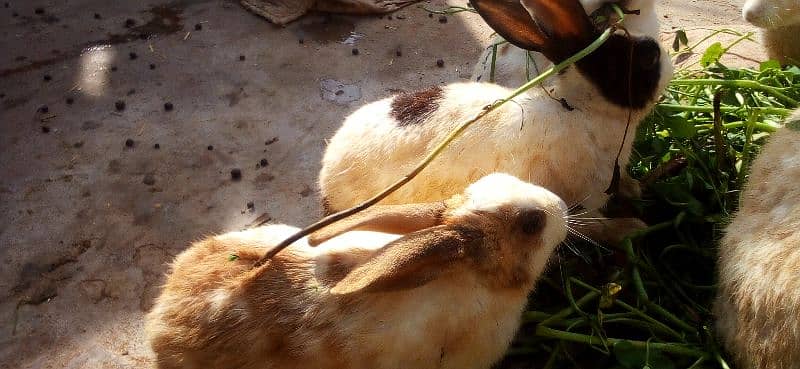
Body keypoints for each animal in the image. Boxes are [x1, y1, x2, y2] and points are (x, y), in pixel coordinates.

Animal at [318, 0, 676, 244]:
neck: (582, 110)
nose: (663, 55)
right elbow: (596, 227)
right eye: (647, 58)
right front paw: (633, 229)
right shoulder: (582, 202)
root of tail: (325, 176)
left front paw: (634, 188)